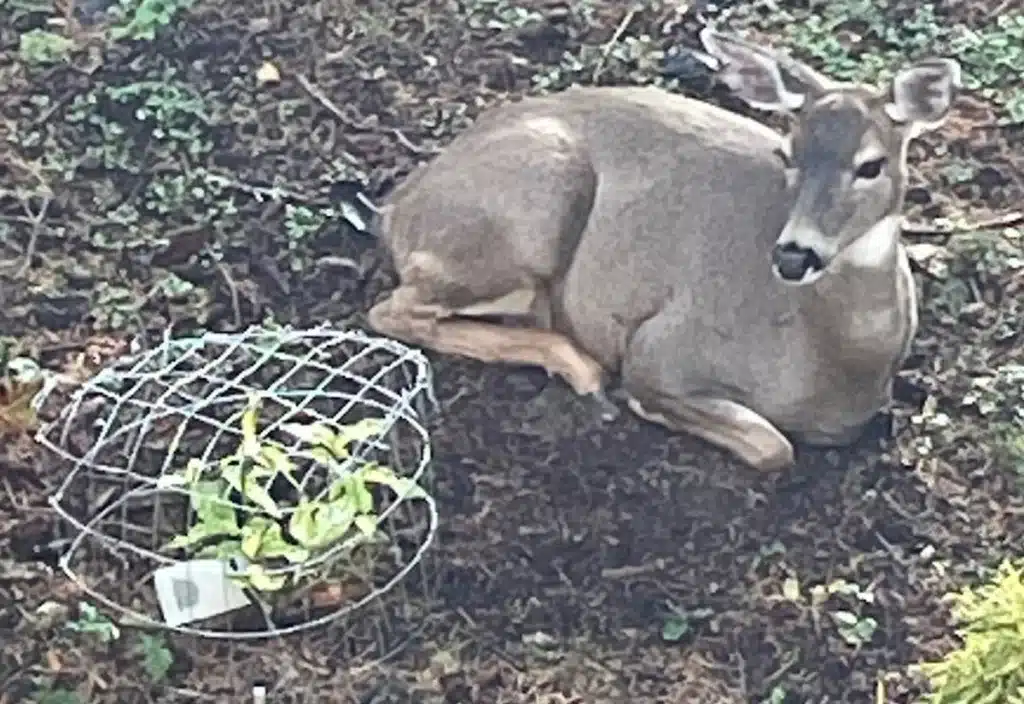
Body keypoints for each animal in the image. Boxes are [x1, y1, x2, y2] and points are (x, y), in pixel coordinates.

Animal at [362, 24, 958, 470]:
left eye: (870, 165)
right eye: (789, 154)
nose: (794, 255)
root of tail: (399, 206)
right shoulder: (663, 347)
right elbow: (773, 446)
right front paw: (645, 407)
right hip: (532, 206)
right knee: (393, 311)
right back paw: (581, 369)